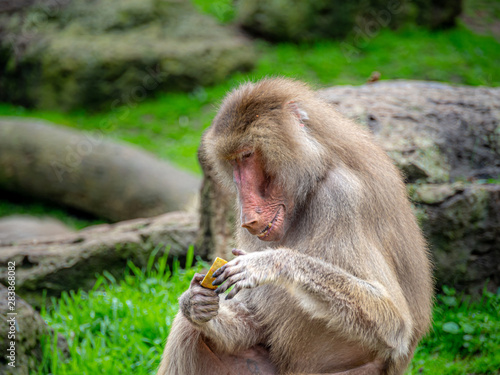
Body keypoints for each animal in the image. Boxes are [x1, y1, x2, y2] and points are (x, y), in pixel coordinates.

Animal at [157, 78, 434, 374]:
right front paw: (195, 303)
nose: (247, 218)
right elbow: (252, 319)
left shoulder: (342, 196)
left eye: (247, 154)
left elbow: (394, 323)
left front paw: (272, 263)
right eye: (233, 162)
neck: (314, 179)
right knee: (190, 331)